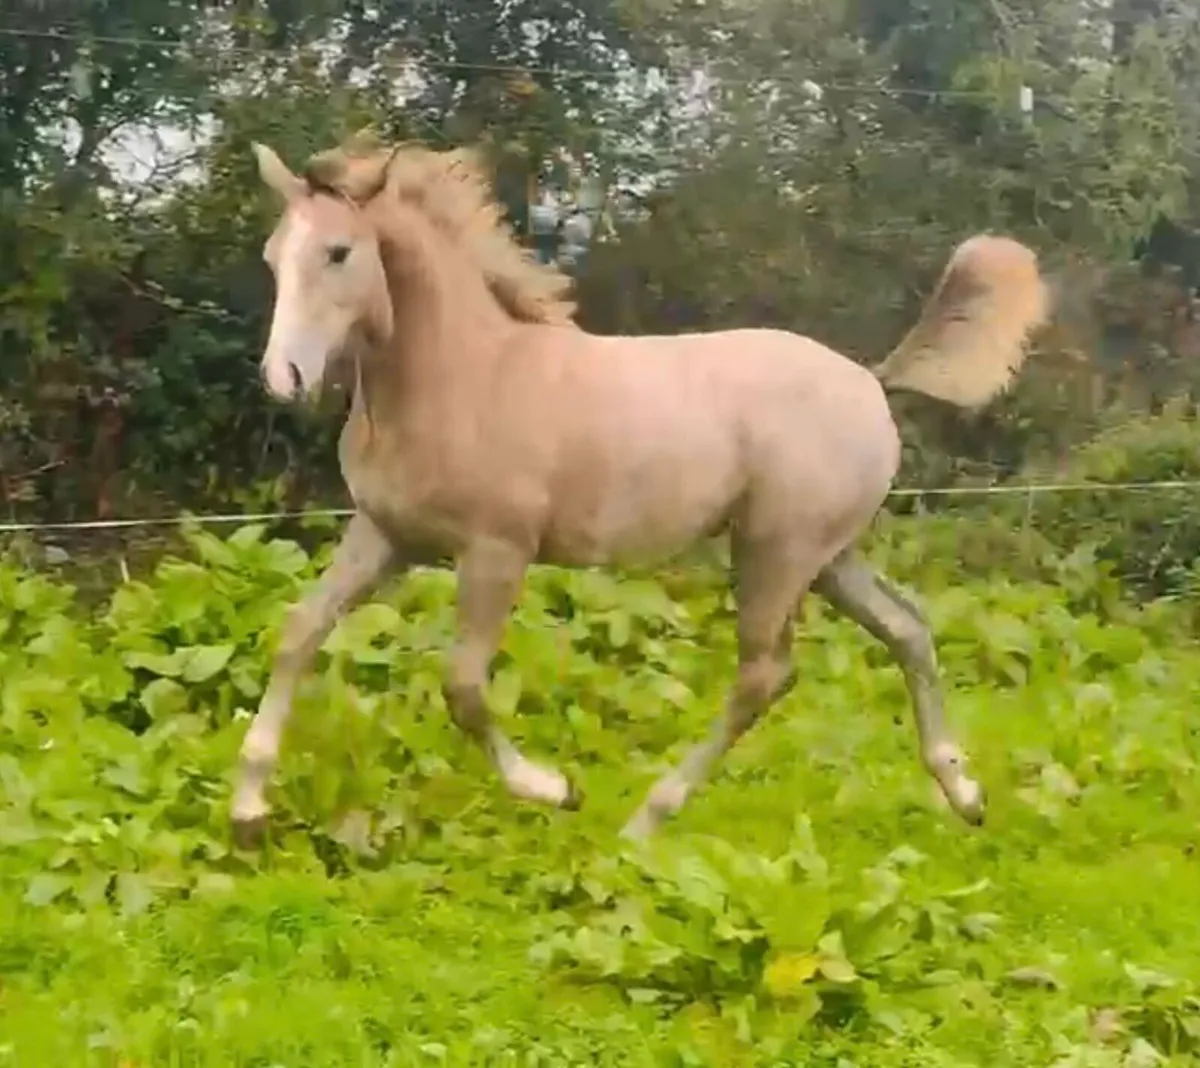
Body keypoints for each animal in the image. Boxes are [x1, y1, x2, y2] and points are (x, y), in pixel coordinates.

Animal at [231, 134, 1049, 846]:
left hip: (775, 554)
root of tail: (871, 381)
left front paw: (553, 788)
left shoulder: (496, 552)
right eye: (273, 256)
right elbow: (298, 631)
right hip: (827, 558)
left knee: (764, 676)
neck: (462, 376)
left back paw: (645, 820)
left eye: (339, 252)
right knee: (907, 628)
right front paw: (247, 808)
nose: (284, 379)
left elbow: (463, 687)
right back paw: (963, 792)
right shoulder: (384, 535)